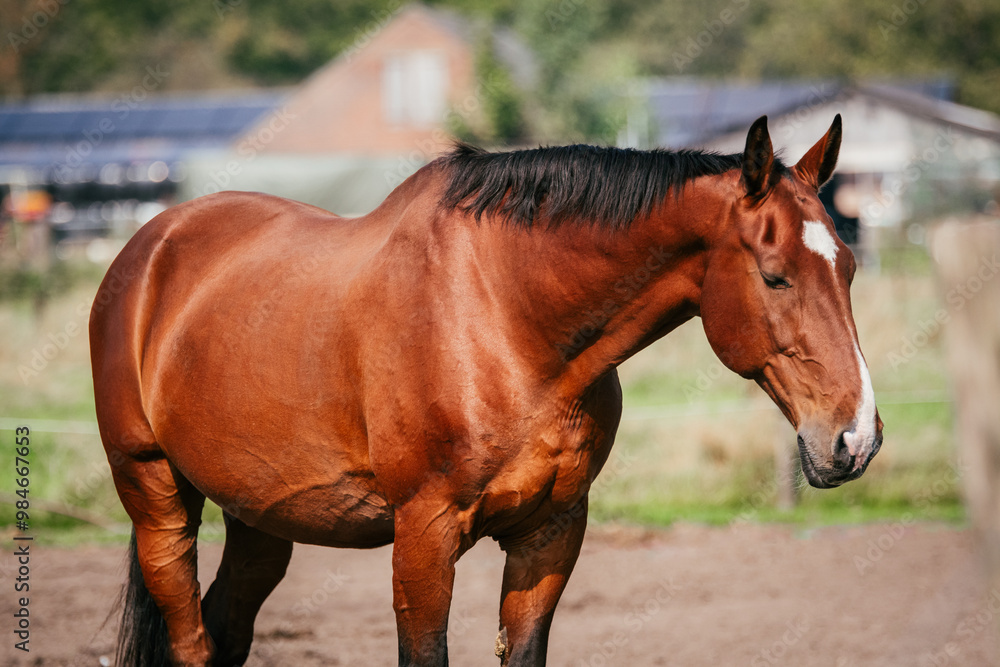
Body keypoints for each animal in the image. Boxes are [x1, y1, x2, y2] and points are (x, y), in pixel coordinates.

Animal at [90, 114, 882, 666]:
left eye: (847, 265)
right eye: (775, 275)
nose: (855, 438)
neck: (506, 320)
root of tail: (152, 244)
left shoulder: (549, 534)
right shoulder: (423, 538)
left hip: (260, 515)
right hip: (155, 494)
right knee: (191, 639)